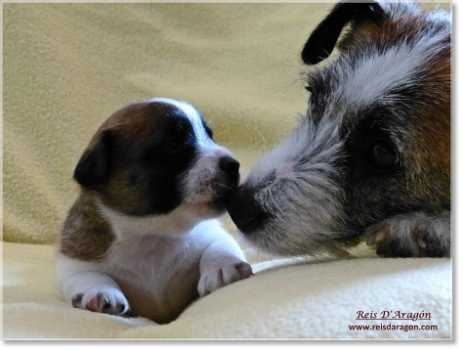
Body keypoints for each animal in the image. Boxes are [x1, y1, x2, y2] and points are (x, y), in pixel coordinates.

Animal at [57, 97, 254, 324]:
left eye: (210, 137)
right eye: (173, 144)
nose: (233, 165)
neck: (153, 235)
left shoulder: (212, 233)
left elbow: (218, 246)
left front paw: (222, 267)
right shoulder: (74, 263)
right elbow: (88, 276)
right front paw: (101, 291)